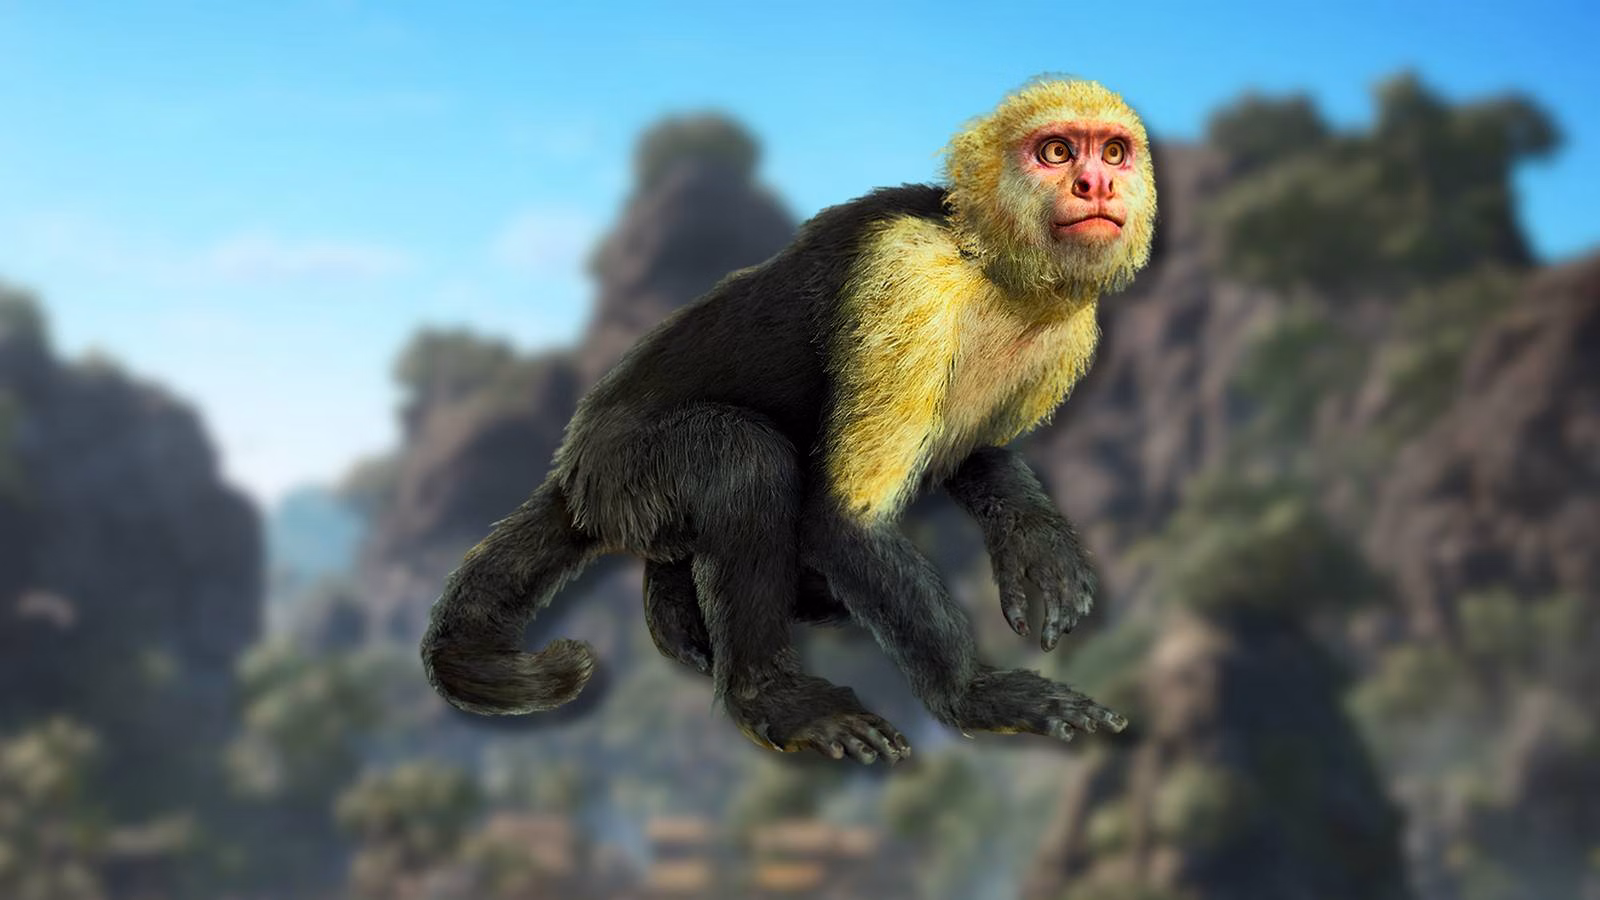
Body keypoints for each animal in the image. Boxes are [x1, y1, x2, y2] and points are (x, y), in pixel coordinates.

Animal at [421, 75, 1157, 765]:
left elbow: (971, 453)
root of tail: (572, 470)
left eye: (1113, 152)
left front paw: (1036, 545)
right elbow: (843, 517)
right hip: (621, 470)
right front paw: (975, 695)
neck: (991, 268)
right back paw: (769, 699)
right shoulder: (908, 280)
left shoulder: (1069, 333)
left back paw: (681, 611)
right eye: (1057, 151)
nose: (1094, 183)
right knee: (743, 462)